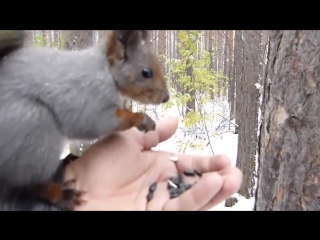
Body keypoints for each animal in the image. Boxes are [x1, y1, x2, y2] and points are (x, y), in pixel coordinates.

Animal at [0, 29, 170, 210]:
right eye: (146, 72)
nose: (166, 97)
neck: (107, 73)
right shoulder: (89, 97)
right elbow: (100, 122)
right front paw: (141, 119)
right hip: (33, 129)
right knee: (33, 183)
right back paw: (60, 194)